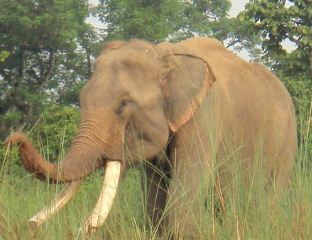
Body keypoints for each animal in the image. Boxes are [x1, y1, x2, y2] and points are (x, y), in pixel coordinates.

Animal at [5, 36, 298, 237]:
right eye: (80, 99)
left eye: (123, 105)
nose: (11, 139)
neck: (163, 53)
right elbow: (155, 205)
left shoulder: (204, 116)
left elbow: (180, 201)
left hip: (287, 141)